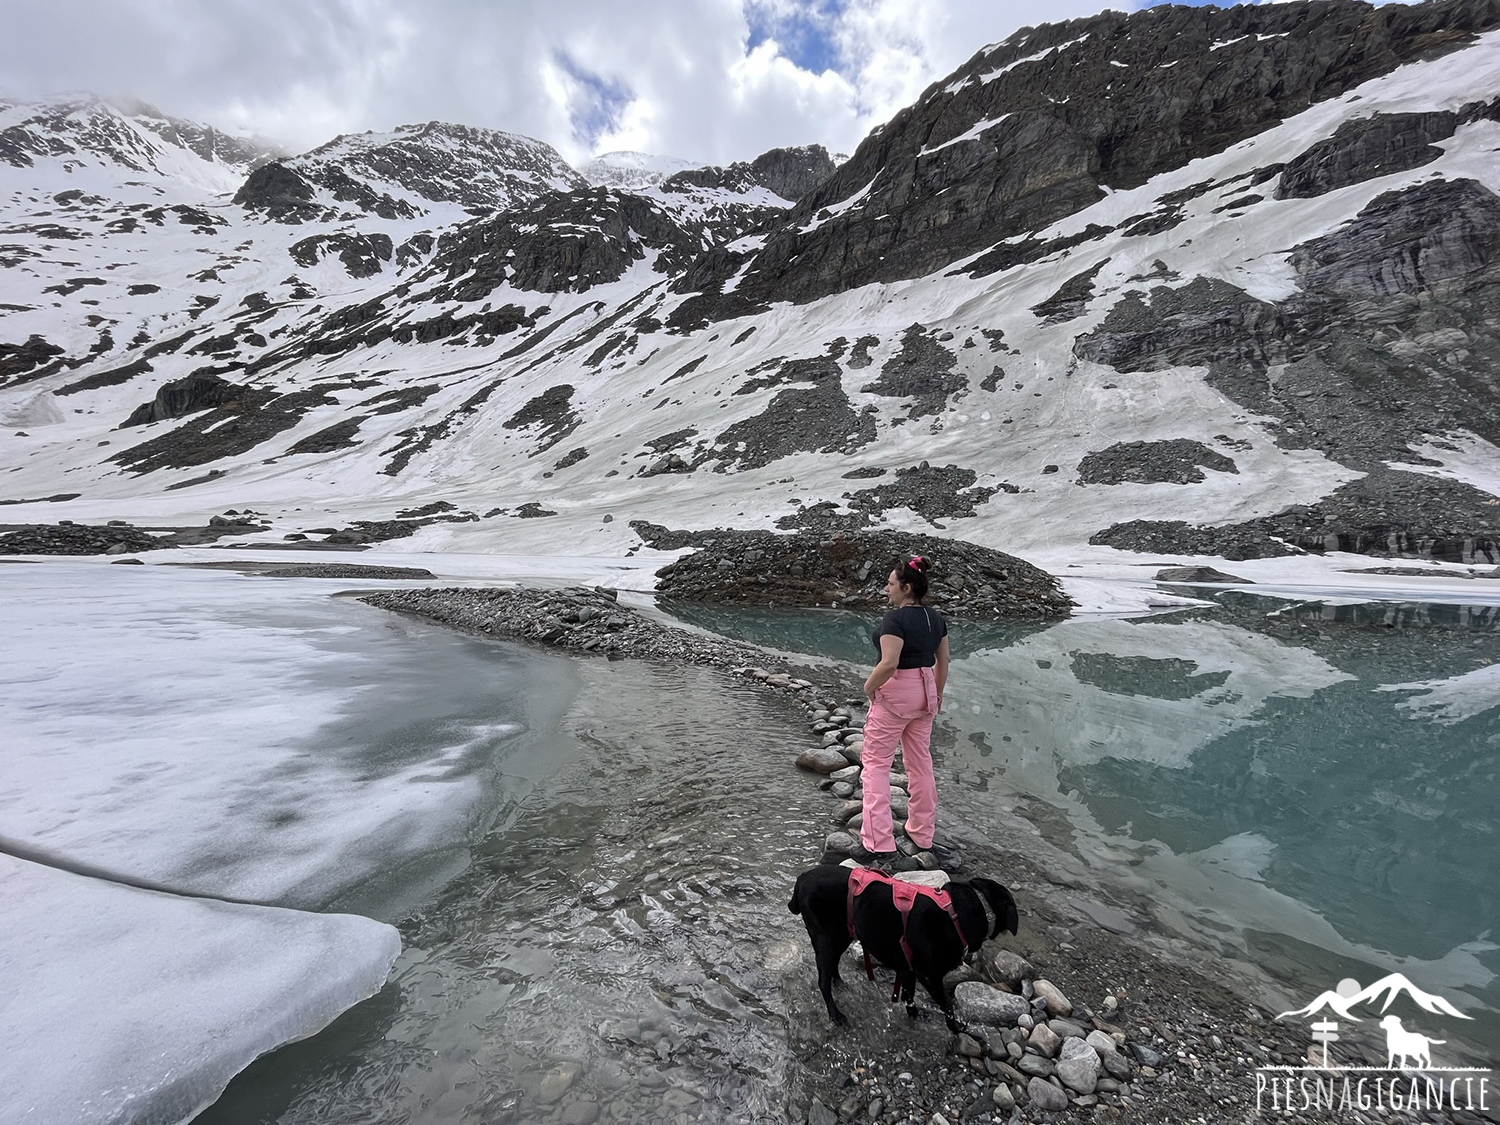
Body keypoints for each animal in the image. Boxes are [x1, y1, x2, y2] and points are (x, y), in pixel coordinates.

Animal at [786, 870, 1020, 1038]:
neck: (955, 916)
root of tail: (802, 879)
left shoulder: (908, 968)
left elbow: (909, 994)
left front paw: (915, 1014)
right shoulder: (929, 975)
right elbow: (946, 1004)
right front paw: (956, 1027)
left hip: (842, 934)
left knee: (833, 965)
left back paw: (838, 982)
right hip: (825, 939)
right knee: (823, 981)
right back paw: (835, 1014)